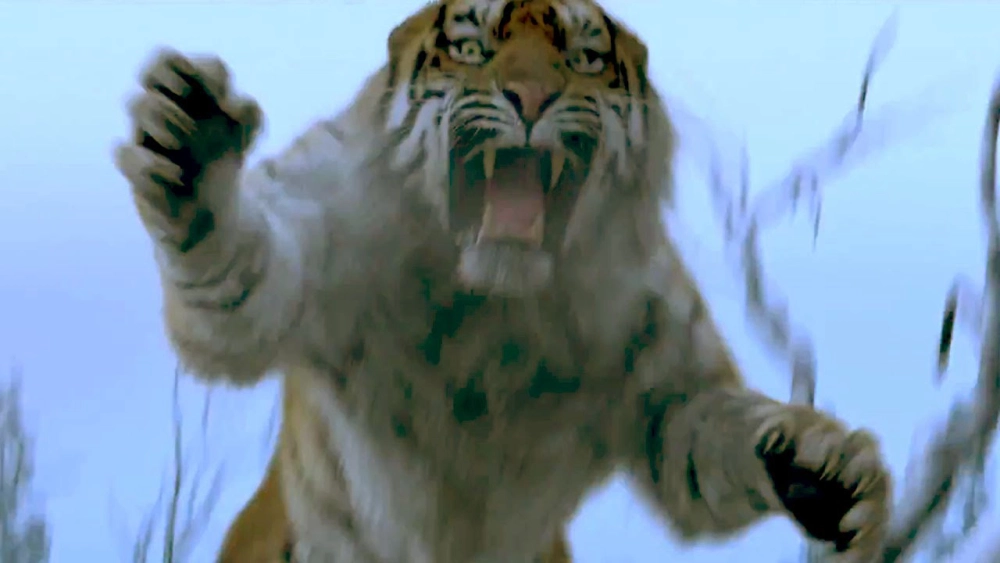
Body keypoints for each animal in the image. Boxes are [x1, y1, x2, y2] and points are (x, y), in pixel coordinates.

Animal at [114, 0, 893, 561]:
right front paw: (192, 150)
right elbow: (238, 293)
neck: (494, 306)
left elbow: (707, 439)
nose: (531, 97)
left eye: (583, 60)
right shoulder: (323, 230)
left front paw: (823, 469)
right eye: (471, 51)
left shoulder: (667, 380)